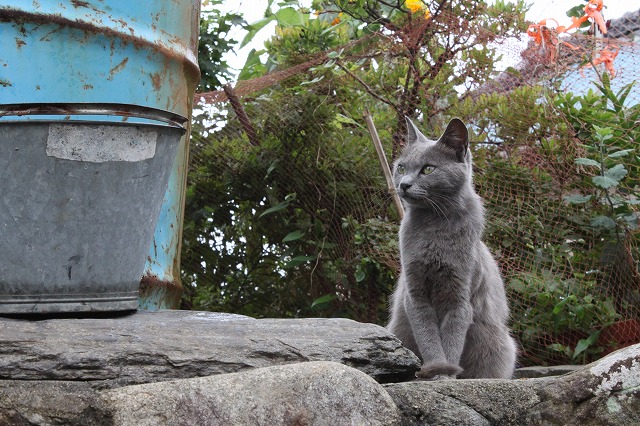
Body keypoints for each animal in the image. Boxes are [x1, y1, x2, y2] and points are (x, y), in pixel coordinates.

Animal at [384, 116, 516, 380]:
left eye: (428, 169)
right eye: (401, 167)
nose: (404, 184)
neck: (434, 228)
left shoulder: (459, 297)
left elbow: (452, 341)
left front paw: (445, 376)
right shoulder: (415, 295)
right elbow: (429, 338)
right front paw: (437, 371)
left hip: (498, 342)